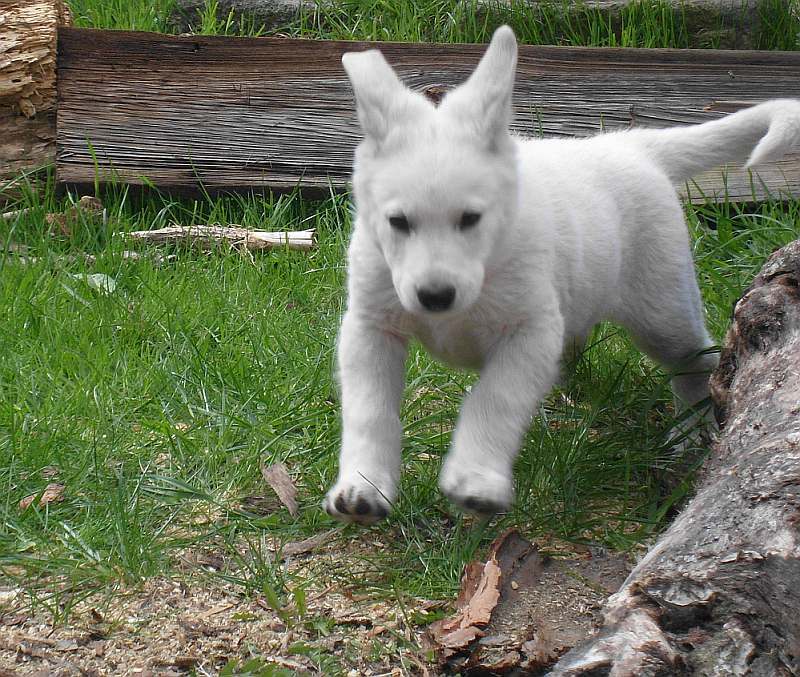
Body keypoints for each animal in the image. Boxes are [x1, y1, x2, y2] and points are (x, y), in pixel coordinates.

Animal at [322, 25, 800, 524]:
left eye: (471, 219)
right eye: (398, 222)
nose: (435, 297)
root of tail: (629, 145)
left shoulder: (529, 332)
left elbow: (493, 399)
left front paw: (475, 478)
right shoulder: (371, 330)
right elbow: (369, 411)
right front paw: (364, 486)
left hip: (663, 312)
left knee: (699, 363)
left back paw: (690, 433)